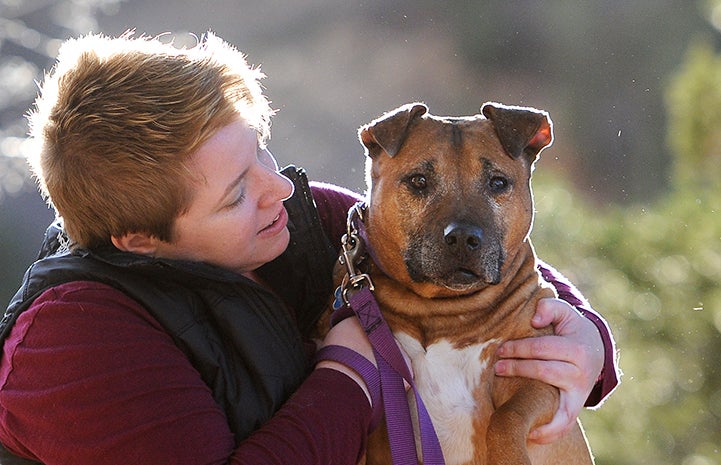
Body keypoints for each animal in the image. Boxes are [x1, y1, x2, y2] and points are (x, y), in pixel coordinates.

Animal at [350, 102, 596, 464]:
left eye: (497, 182)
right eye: (419, 181)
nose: (463, 237)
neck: (443, 311)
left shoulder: (536, 376)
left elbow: (506, 419)